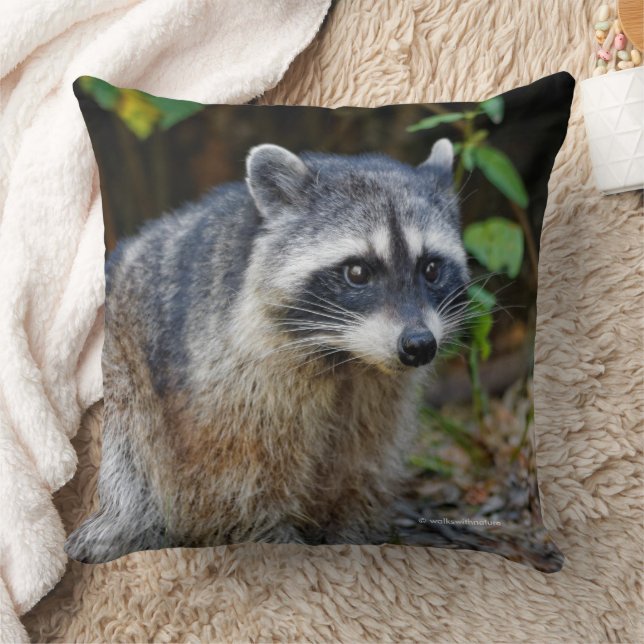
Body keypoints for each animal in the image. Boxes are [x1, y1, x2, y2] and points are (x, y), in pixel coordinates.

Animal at [65, 138, 469, 563]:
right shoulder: (226, 379)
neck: (346, 355)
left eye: (431, 269)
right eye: (358, 272)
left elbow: (359, 458)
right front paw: (272, 537)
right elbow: (231, 481)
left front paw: (350, 528)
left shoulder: (375, 392)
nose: (419, 345)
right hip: (125, 378)